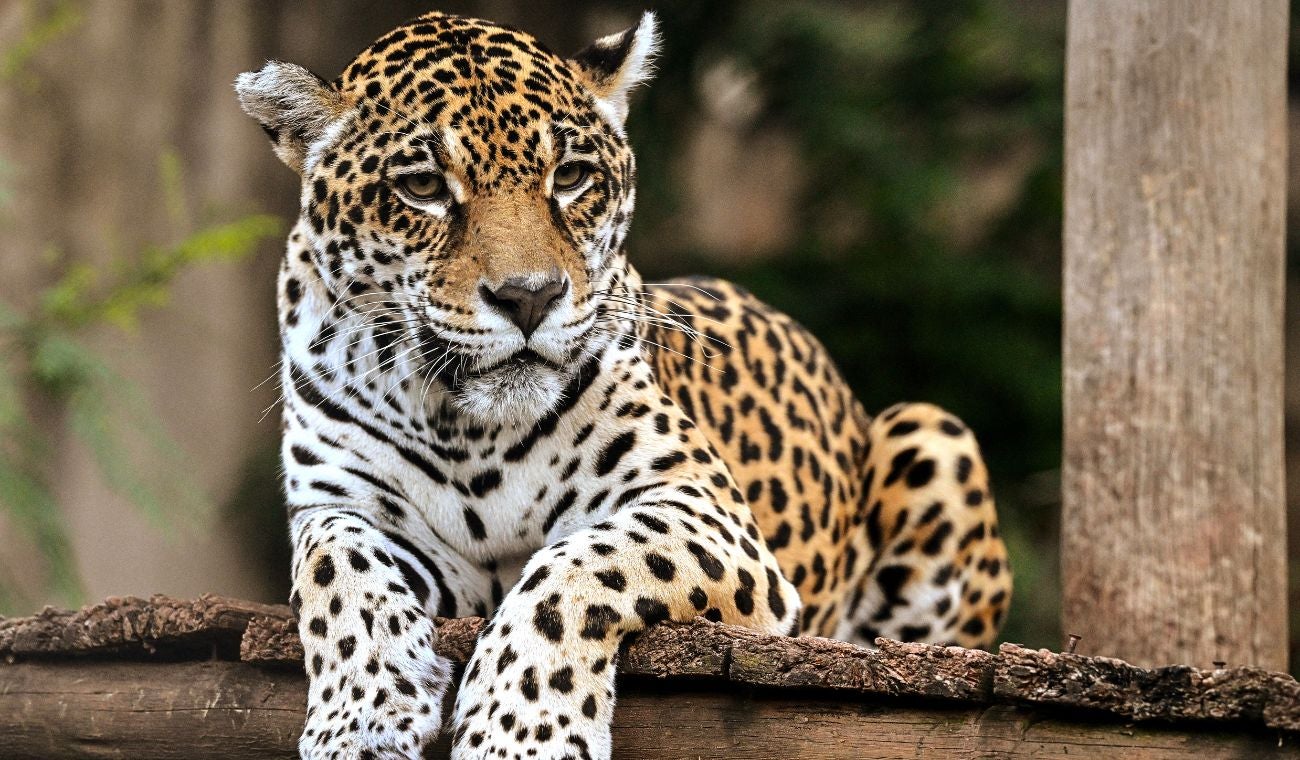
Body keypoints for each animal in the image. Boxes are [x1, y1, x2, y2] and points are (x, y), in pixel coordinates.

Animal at [235, 10, 1011, 760]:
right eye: (422, 187)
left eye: (571, 176)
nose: (529, 297)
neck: (470, 431)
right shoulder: (347, 507)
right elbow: (335, 564)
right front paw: (362, 716)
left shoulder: (704, 511)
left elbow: (577, 567)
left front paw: (521, 732)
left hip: (931, 432)